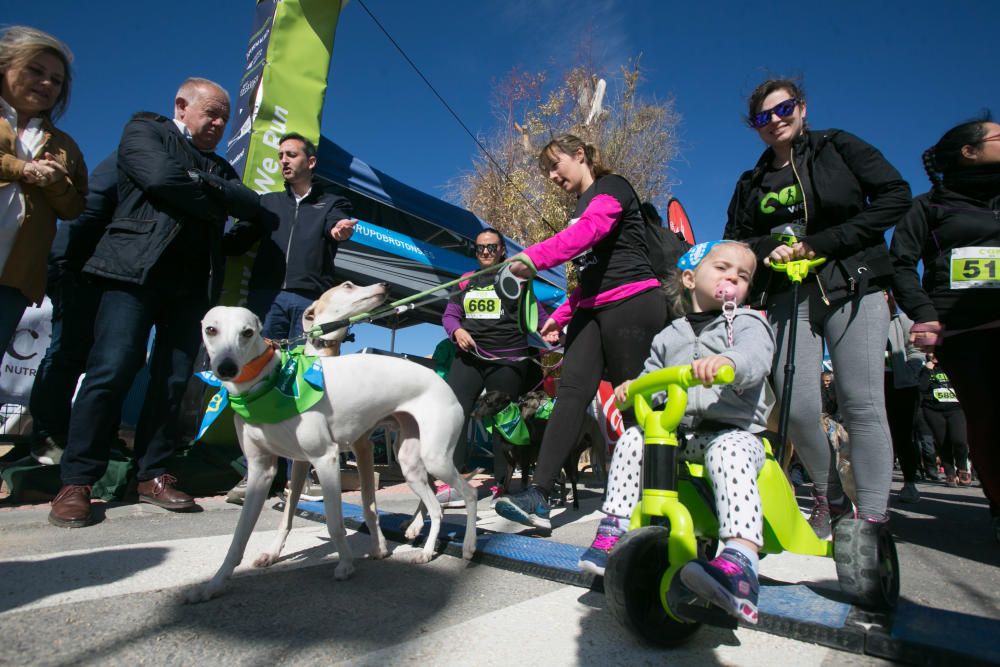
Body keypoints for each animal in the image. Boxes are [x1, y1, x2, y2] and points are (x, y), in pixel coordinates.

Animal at [190, 282, 480, 604]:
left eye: (248, 332)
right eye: (211, 329)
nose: (226, 368)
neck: (271, 385)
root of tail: (441, 380)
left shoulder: (327, 457)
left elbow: (337, 520)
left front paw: (347, 564)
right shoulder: (263, 469)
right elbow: (243, 534)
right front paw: (216, 583)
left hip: (436, 457)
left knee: (468, 494)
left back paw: (465, 547)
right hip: (410, 461)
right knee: (433, 505)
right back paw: (424, 544)